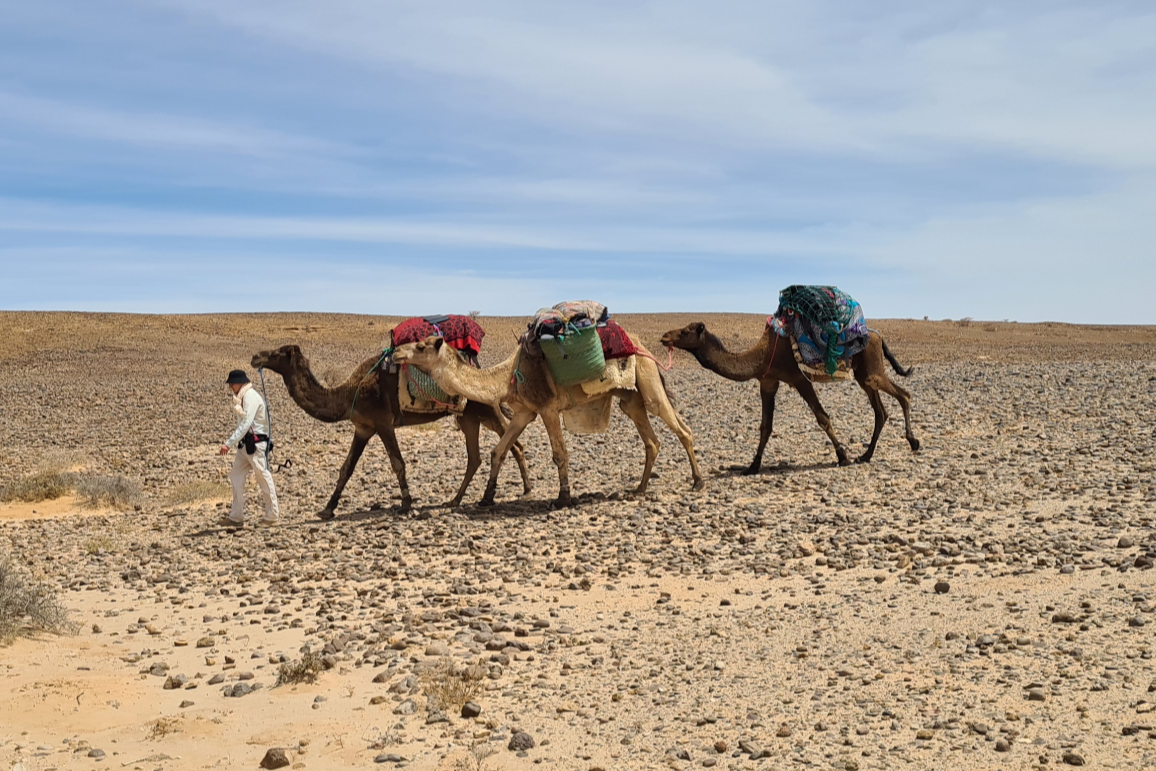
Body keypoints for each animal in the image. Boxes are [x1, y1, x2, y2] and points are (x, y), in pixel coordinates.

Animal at [253, 349, 531, 517]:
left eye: (277, 353)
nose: (257, 357)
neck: (350, 391)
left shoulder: (383, 423)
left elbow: (398, 463)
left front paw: (406, 504)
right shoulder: (363, 428)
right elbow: (346, 468)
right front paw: (327, 509)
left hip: (486, 409)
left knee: (511, 446)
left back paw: (516, 492)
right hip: (469, 418)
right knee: (478, 456)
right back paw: (456, 500)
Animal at [661, 323, 920, 473]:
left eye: (685, 331)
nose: (664, 336)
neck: (763, 354)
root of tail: (877, 335)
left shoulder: (799, 379)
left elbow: (822, 417)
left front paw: (842, 456)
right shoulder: (768, 381)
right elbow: (765, 426)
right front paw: (753, 466)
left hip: (871, 368)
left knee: (904, 395)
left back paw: (913, 442)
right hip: (863, 374)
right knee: (881, 411)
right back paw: (866, 455)